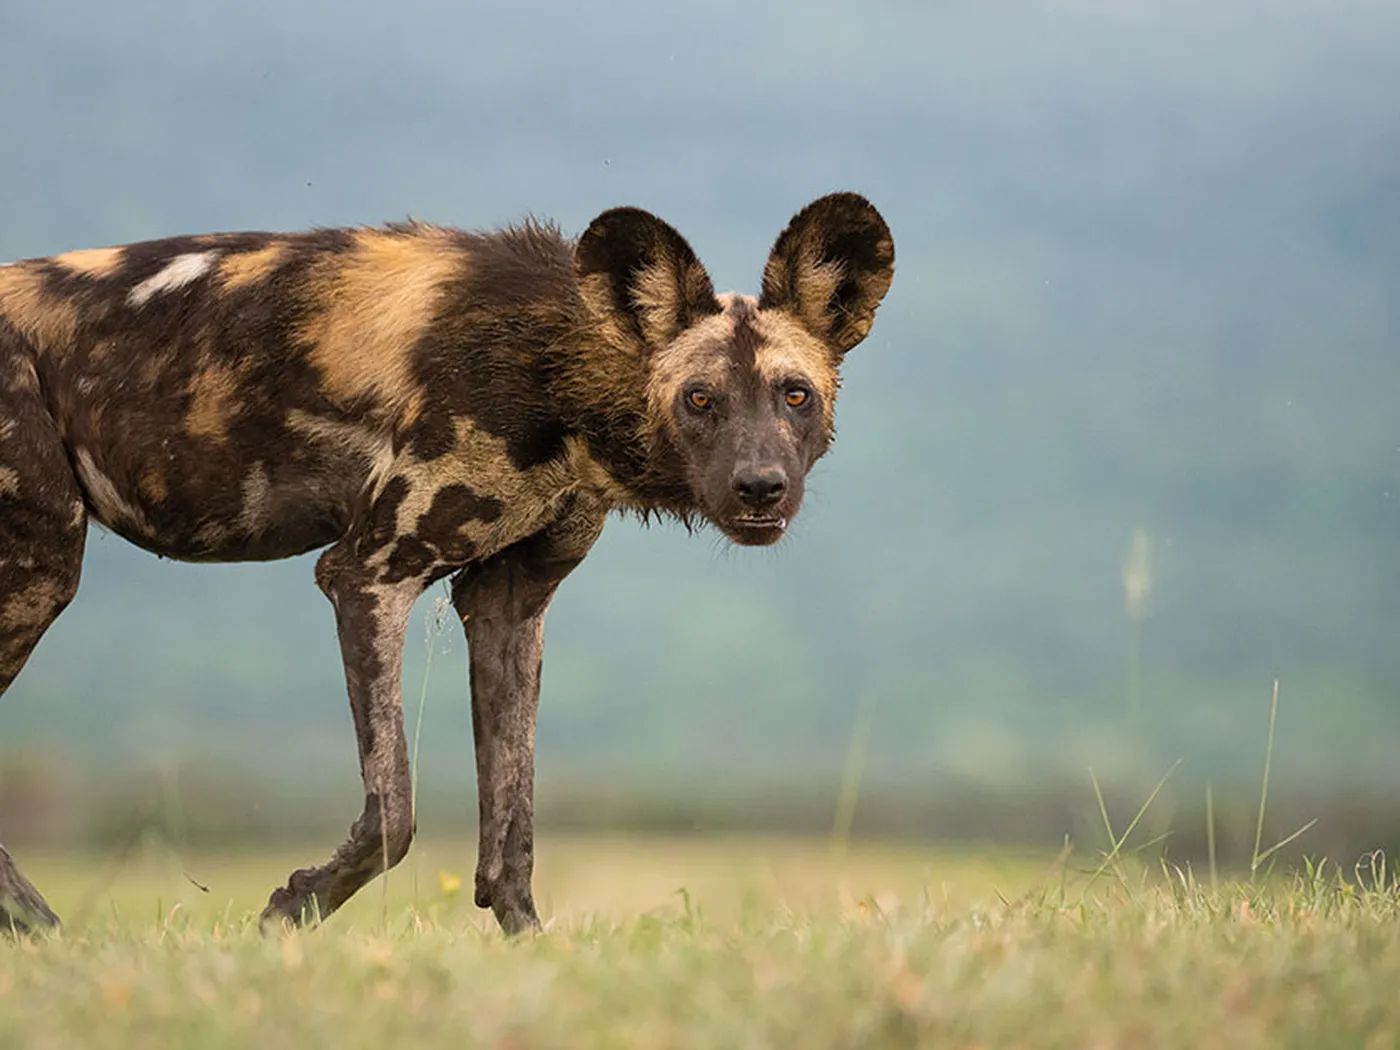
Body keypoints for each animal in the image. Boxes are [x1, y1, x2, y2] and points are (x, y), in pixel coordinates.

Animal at [0, 193, 896, 935]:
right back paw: (48, 937)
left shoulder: (508, 605)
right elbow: (392, 813)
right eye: (699, 399)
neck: (554, 366)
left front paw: (529, 947)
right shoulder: (368, 575)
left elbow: (513, 824)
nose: (761, 487)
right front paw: (290, 913)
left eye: (794, 395)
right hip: (43, 569)